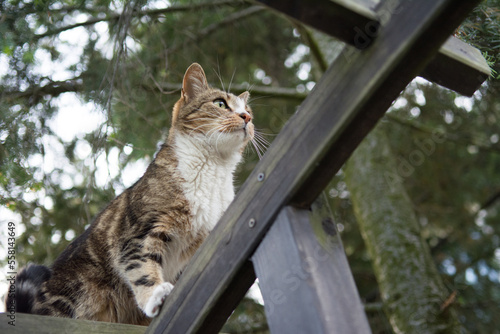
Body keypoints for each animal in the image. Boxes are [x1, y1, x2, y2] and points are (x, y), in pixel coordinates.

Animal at [7, 62, 256, 324]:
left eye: (247, 109)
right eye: (220, 104)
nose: (247, 117)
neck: (214, 169)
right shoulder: (140, 231)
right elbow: (141, 266)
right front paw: (156, 294)